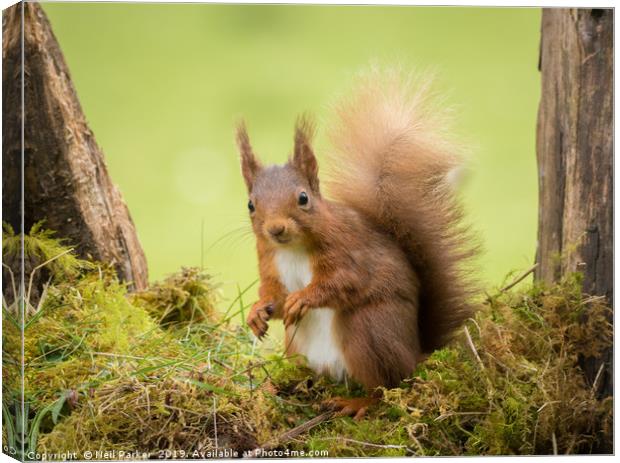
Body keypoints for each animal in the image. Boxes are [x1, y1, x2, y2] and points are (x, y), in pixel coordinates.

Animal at [235, 71, 478, 420]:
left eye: (303, 198)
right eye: (251, 205)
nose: (276, 228)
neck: (292, 249)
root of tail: (416, 351)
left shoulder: (348, 251)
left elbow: (344, 282)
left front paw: (303, 298)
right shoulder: (270, 261)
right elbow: (275, 298)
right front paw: (257, 311)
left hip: (367, 332)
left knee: (386, 386)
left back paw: (356, 403)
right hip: (299, 345)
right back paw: (282, 386)